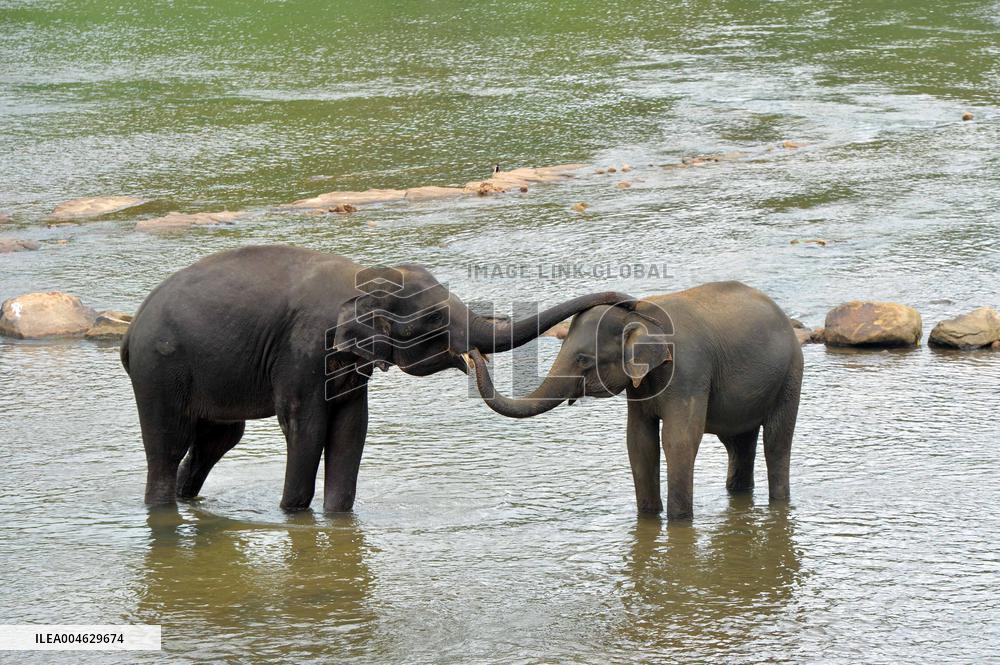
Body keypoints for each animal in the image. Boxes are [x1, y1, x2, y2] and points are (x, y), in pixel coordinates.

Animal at [121, 244, 630, 512]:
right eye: (434, 320)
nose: (624, 299)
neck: (364, 273)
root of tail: (130, 332)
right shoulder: (303, 351)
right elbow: (307, 428)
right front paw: (292, 512)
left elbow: (352, 429)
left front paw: (337, 517)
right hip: (159, 369)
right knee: (168, 443)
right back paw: (161, 508)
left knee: (217, 440)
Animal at [466, 281, 803, 520]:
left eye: (583, 359)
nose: (472, 353)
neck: (642, 319)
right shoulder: (639, 388)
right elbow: (639, 441)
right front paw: (648, 517)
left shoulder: (689, 371)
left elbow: (678, 440)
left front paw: (678, 522)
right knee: (738, 443)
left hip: (791, 374)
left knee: (776, 442)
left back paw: (778, 501)